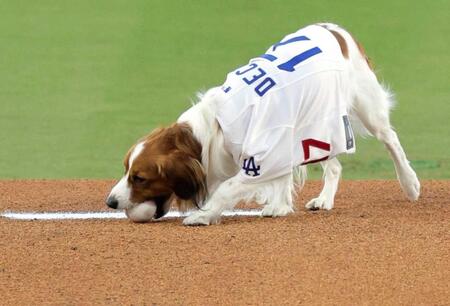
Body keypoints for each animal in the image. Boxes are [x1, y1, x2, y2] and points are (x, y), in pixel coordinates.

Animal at [106, 22, 422, 225]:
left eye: (140, 178)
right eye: (126, 170)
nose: (110, 202)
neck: (206, 133)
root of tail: (334, 28)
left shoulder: (262, 154)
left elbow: (228, 188)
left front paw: (204, 215)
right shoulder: (282, 145)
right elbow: (280, 178)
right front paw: (279, 206)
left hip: (367, 108)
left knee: (391, 139)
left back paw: (409, 183)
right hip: (318, 126)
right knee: (334, 165)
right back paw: (324, 199)